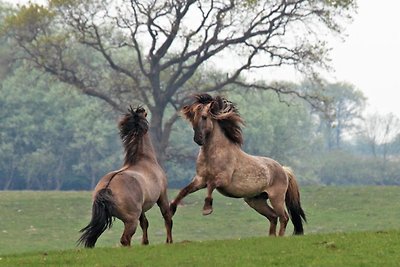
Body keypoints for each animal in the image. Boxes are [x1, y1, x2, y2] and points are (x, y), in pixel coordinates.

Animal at [77, 105, 172, 248]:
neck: (144, 160)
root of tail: (107, 188)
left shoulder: (142, 209)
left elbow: (145, 223)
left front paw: (145, 243)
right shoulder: (162, 196)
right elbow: (167, 217)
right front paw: (169, 241)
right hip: (130, 220)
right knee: (125, 239)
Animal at [170, 94, 306, 237]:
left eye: (204, 117)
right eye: (192, 118)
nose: (198, 139)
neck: (214, 154)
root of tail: (284, 170)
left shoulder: (222, 179)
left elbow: (211, 185)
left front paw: (207, 209)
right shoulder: (200, 180)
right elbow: (184, 190)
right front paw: (171, 207)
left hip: (276, 198)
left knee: (283, 217)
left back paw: (279, 237)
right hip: (256, 201)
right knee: (273, 216)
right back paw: (271, 237)